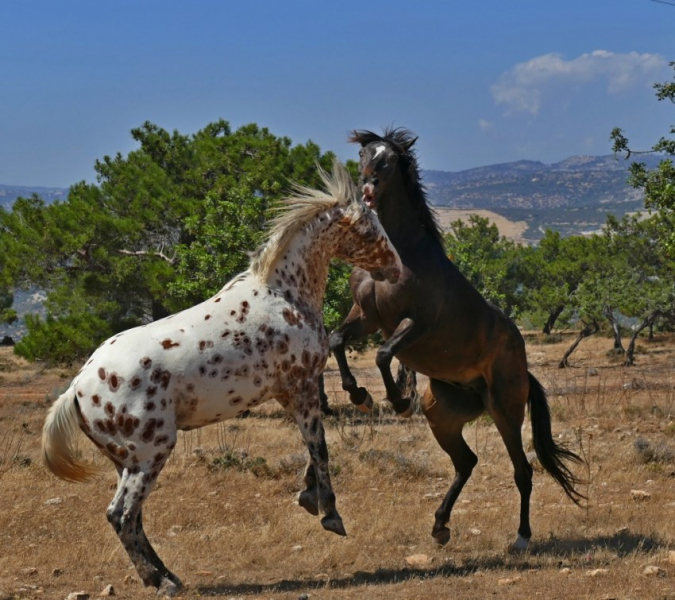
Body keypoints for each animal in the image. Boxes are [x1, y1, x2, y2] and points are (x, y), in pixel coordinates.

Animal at [42, 161, 402, 596]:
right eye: (368, 228)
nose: (397, 268)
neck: (284, 296)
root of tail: (78, 388)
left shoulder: (292, 392)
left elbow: (313, 446)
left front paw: (308, 497)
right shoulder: (301, 387)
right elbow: (320, 449)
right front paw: (330, 514)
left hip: (125, 461)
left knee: (135, 519)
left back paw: (169, 576)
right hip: (150, 454)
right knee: (120, 515)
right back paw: (161, 582)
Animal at [330, 129, 584, 552]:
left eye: (390, 160)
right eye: (364, 153)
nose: (366, 189)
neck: (396, 256)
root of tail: (524, 371)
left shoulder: (415, 324)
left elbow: (383, 355)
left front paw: (398, 402)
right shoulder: (366, 316)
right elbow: (336, 340)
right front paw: (359, 395)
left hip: (505, 411)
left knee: (523, 471)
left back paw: (521, 538)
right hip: (442, 415)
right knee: (467, 462)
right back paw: (440, 526)